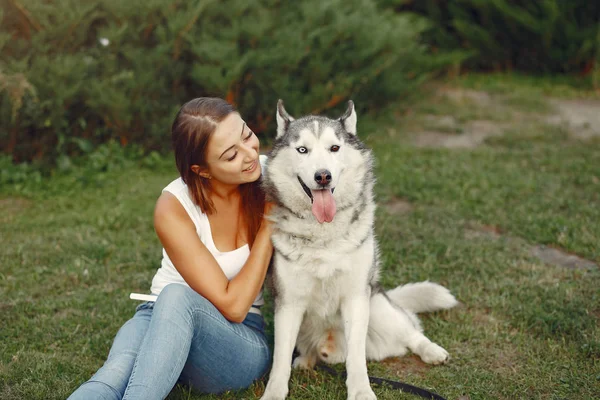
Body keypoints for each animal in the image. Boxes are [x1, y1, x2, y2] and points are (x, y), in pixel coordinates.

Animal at [260, 100, 458, 400]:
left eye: (334, 148)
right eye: (302, 149)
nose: (323, 176)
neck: (323, 233)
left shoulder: (356, 298)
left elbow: (356, 357)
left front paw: (361, 391)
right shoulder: (288, 304)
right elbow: (280, 359)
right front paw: (273, 392)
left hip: (377, 306)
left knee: (410, 330)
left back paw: (431, 351)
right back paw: (306, 360)